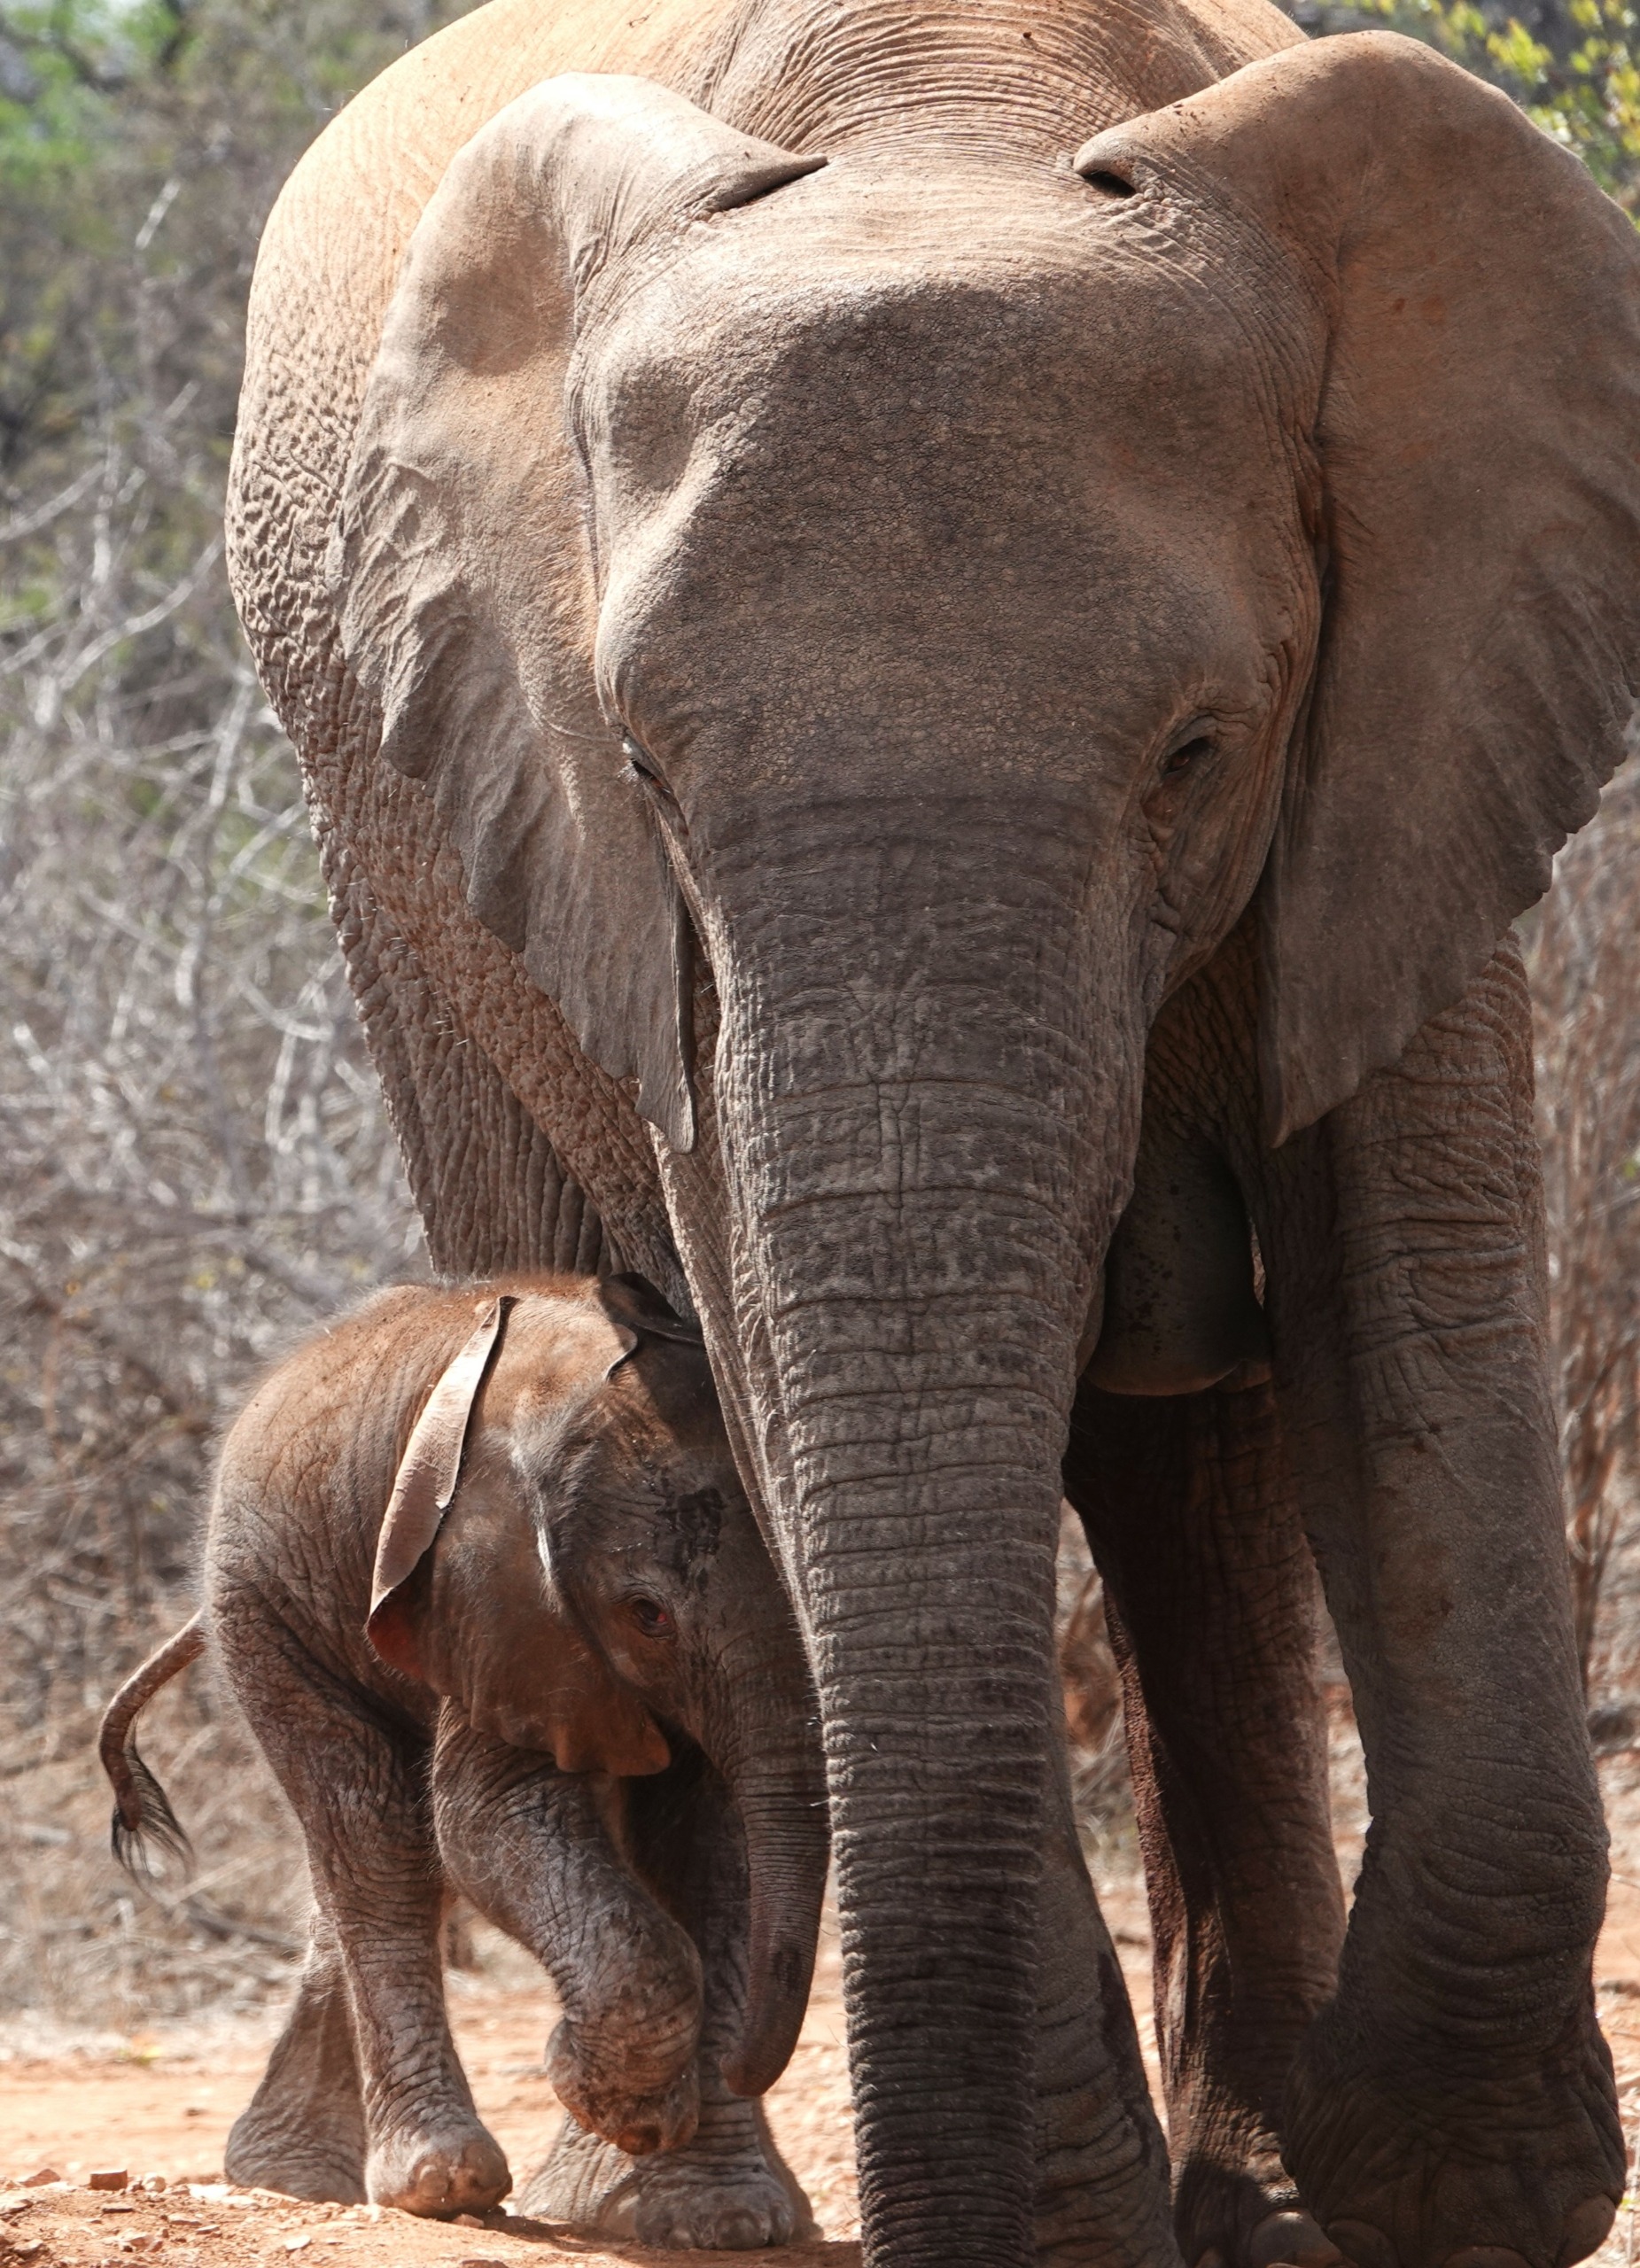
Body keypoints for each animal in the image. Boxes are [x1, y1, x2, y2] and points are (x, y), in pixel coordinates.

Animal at [97, 1271, 827, 2248]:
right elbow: (488, 1821)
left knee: (363, 1859)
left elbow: (708, 1846)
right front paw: (602, 2094)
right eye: (648, 1616)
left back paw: (293, 2176)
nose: (743, 2067)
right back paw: (434, 2185)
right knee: (379, 1839)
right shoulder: (492, 1599)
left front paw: (720, 2214)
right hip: (265, 1606)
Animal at [223, 1, 1640, 2263]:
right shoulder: (616, 879)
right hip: (395, 865)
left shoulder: (1412, 708)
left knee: (1197, 1471)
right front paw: (1108, 2216)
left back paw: (1255, 2194)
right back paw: (671, 2195)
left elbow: (1408, 1291)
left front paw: (1438, 2181)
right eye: (641, 759)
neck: (951, 118)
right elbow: (768, 1357)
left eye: (1196, 748)